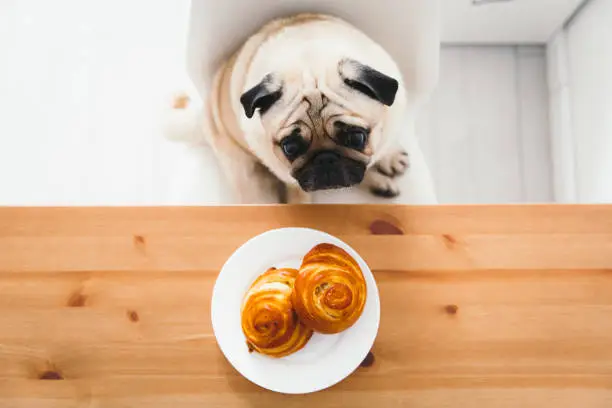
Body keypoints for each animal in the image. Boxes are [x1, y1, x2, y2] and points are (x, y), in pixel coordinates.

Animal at [170, 12, 424, 204]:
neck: (310, 61)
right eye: (290, 148)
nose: (325, 158)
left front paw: (387, 157)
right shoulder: (290, 178)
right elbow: (299, 196)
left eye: (357, 138)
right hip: (243, 170)